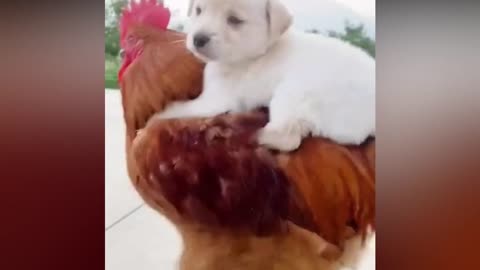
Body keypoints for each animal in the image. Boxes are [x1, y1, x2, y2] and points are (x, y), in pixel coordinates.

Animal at [156, 0, 376, 151]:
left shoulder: (215, 100)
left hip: (292, 93)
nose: (198, 39)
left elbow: (170, 113)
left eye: (235, 20)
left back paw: (259, 136)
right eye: (199, 10)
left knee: (288, 137)